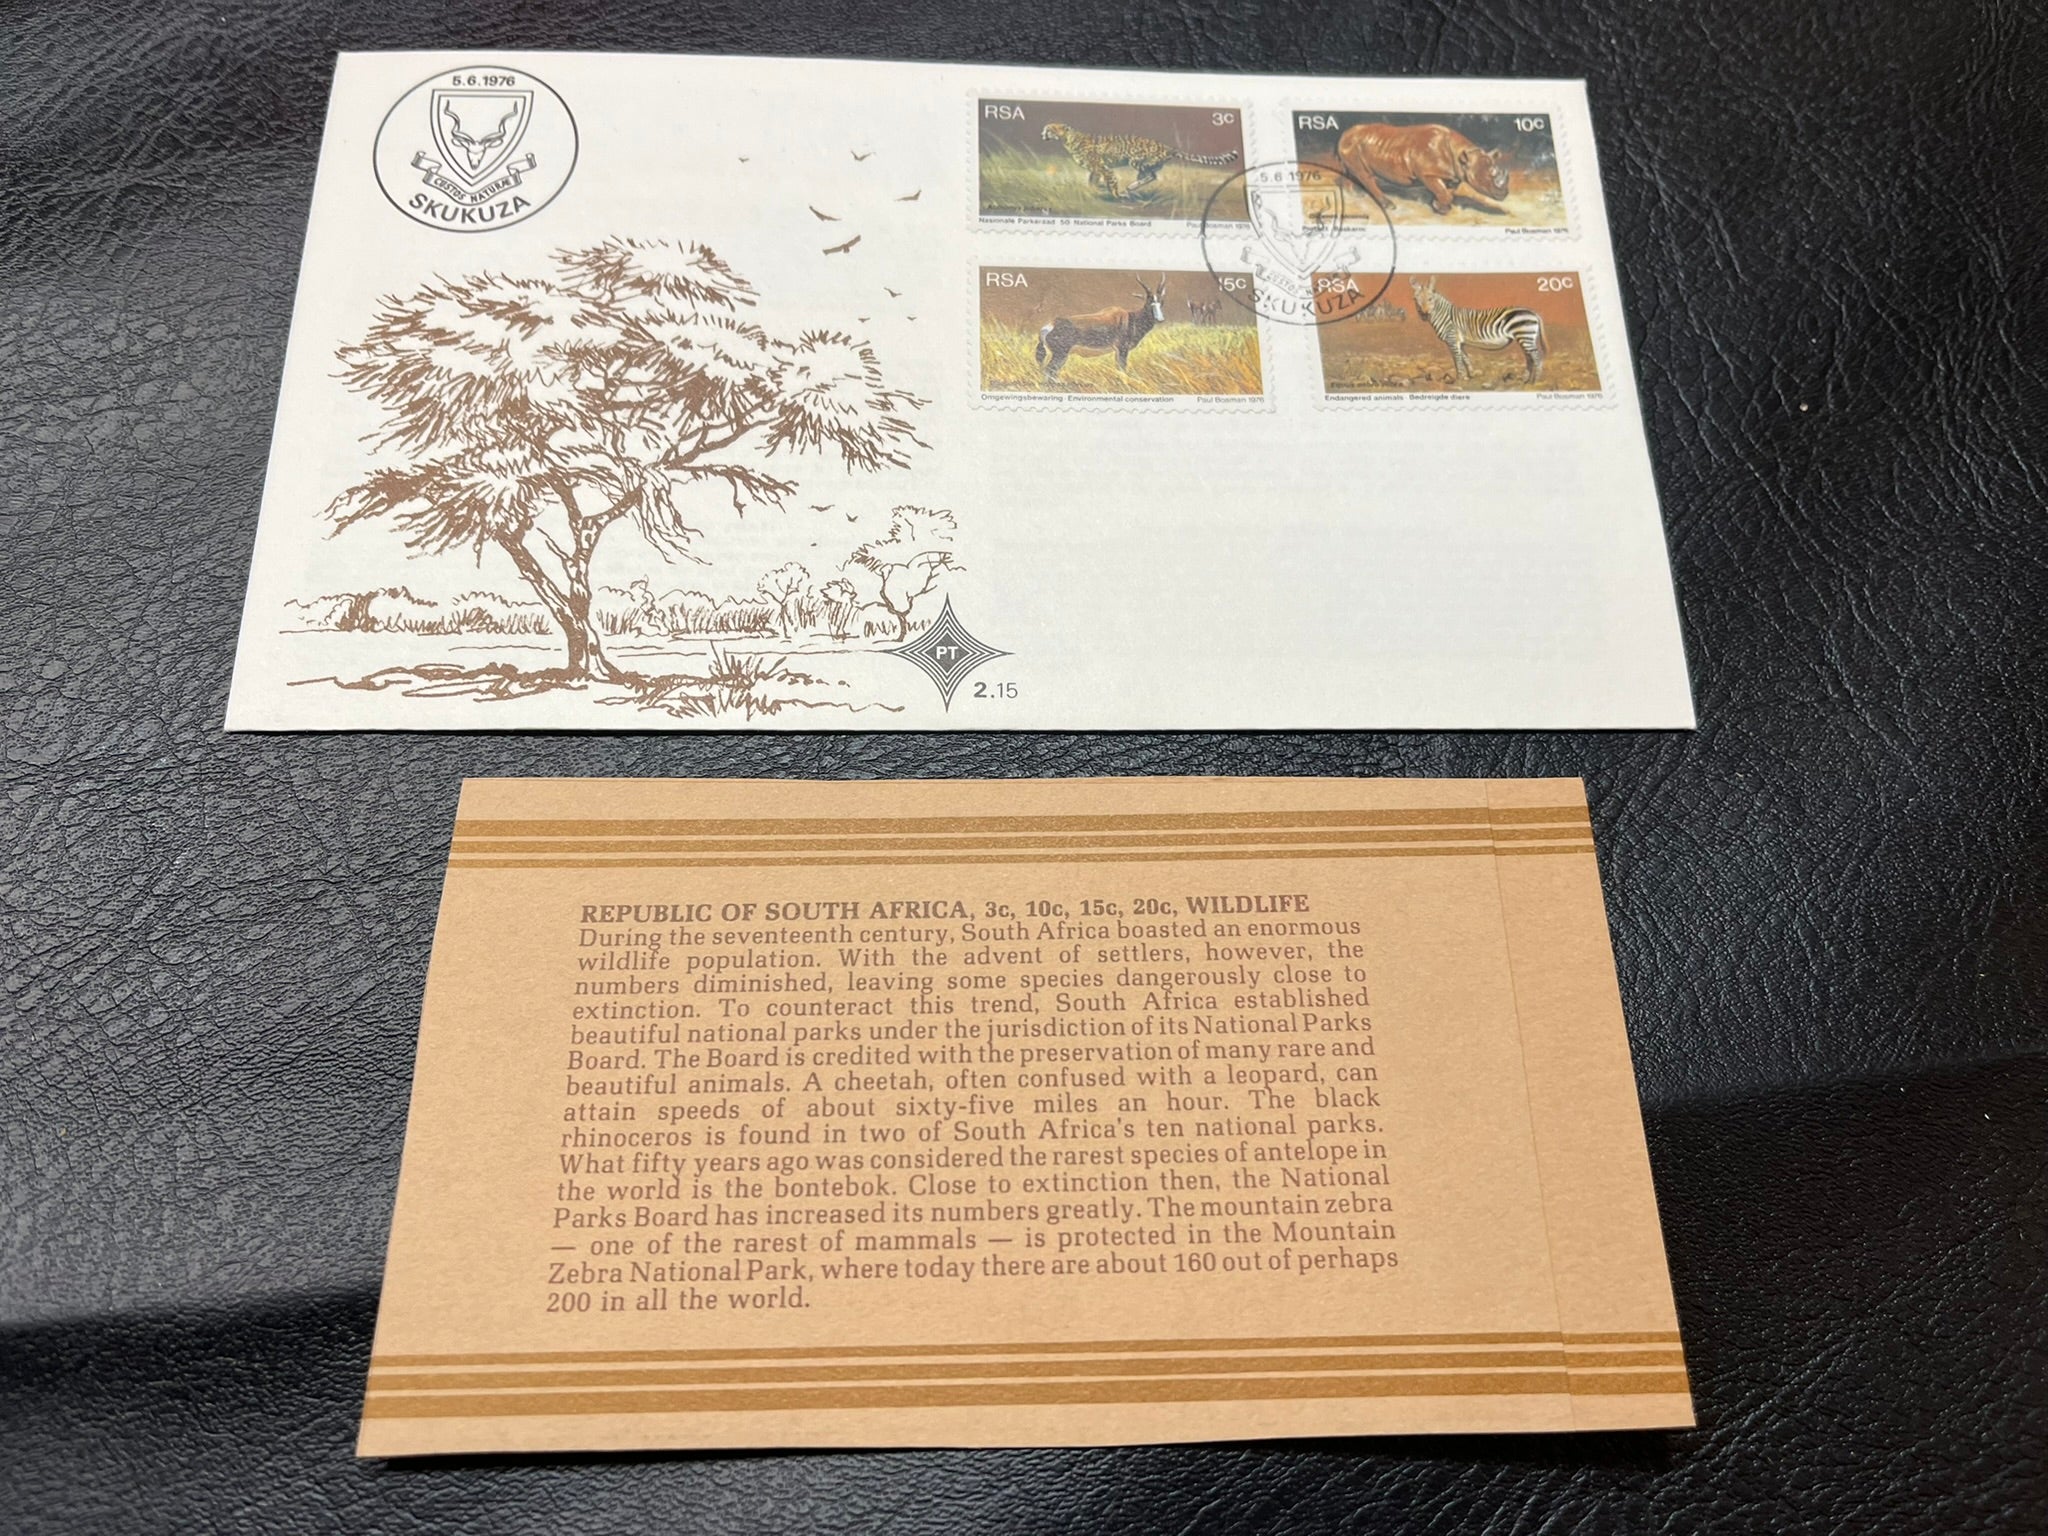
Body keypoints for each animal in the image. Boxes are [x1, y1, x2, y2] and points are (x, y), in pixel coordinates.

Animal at [1035, 275, 1166, 385]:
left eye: (1161, 302)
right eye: (1149, 302)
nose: (1160, 319)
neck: (1130, 318)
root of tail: (1049, 326)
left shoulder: (1117, 351)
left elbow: (1118, 368)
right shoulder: (1122, 349)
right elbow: (1122, 369)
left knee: (1052, 373)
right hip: (1060, 354)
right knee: (1048, 371)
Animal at [1334, 122, 1512, 216]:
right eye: (1488, 178)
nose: (1504, 195)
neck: (1462, 157)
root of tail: (1345, 133)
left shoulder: (1453, 176)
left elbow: (1448, 192)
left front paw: (1439, 206)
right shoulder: (1427, 174)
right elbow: (1443, 191)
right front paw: (1440, 208)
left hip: (1354, 144)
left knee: (1351, 170)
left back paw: (1353, 193)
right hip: (1353, 144)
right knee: (1365, 174)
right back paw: (1389, 206)